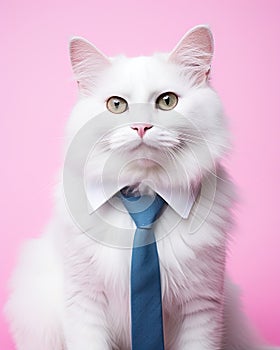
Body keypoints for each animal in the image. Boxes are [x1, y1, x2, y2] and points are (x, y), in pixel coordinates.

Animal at [5, 25, 276, 350]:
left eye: (168, 101)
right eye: (116, 105)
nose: (141, 127)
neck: (143, 196)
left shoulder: (202, 304)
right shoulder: (83, 300)